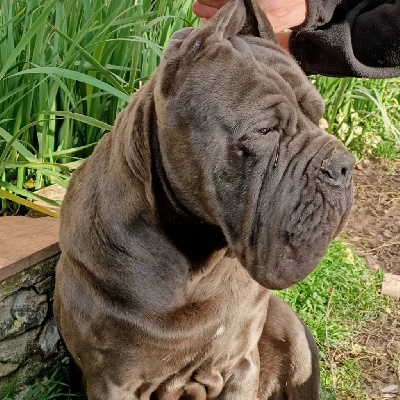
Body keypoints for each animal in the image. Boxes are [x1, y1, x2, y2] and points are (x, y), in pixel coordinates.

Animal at [53, 0, 354, 398]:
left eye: (317, 115)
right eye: (265, 130)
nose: (342, 166)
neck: (202, 265)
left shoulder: (240, 362)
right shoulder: (114, 381)